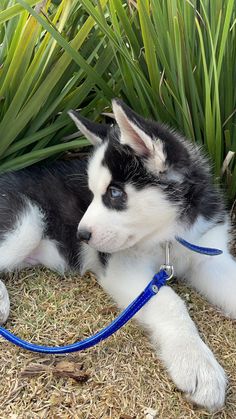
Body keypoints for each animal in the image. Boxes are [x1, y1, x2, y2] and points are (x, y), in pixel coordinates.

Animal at [0, 100, 236, 412]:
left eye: (114, 193)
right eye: (92, 192)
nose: (80, 235)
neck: (168, 237)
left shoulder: (209, 254)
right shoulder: (122, 266)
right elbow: (169, 301)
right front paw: (197, 365)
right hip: (25, 226)